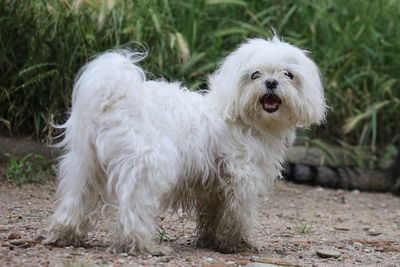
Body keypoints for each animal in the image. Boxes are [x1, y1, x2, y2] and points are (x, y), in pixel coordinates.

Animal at [45, 36, 324, 254]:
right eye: (255, 75)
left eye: (288, 74)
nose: (271, 83)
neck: (243, 117)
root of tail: (116, 98)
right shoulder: (242, 177)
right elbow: (238, 213)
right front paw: (236, 243)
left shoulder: (214, 186)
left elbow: (214, 213)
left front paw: (211, 240)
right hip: (147, 165)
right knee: (133, 206)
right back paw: (140, 244)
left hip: (84, 165)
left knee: (75, 199)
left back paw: (65, 234)